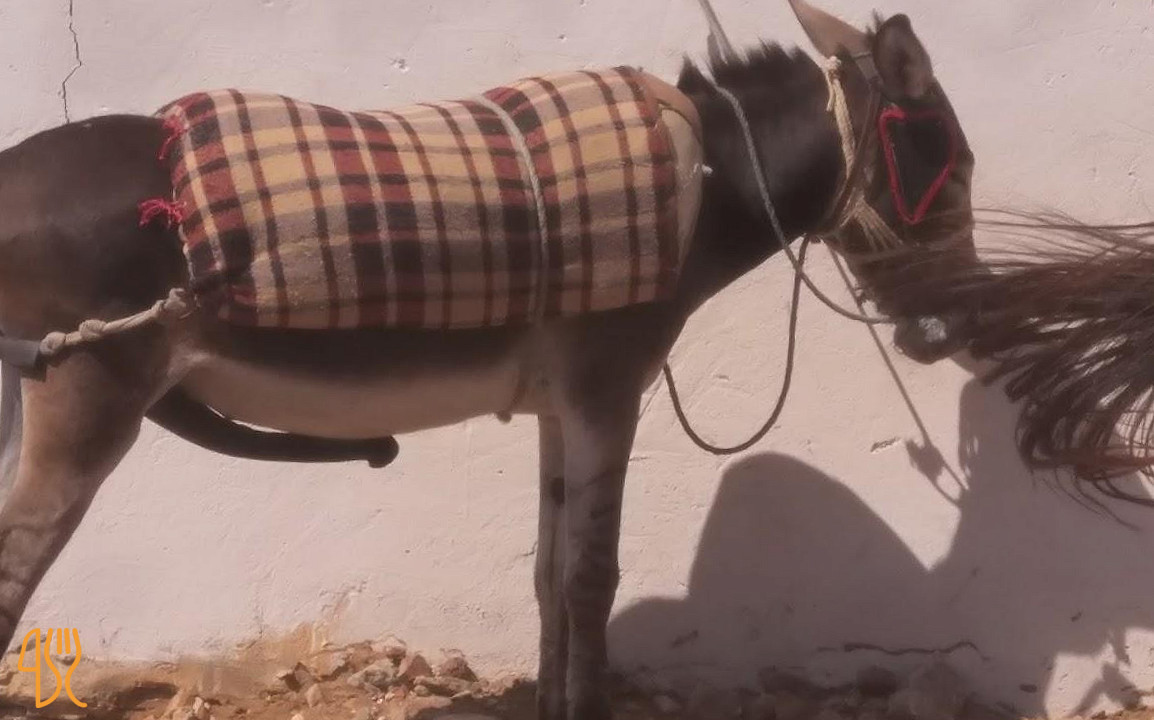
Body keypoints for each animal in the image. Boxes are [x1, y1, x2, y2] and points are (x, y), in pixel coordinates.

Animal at [0, 1, 981, 718]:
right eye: (955, 167)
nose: (950, 337)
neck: (699, 183)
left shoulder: (556, 406)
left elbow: (547, 572)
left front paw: (551, 704)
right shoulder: (605, 392)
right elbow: (591, 578)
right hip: (90, 392)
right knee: (18, 564)